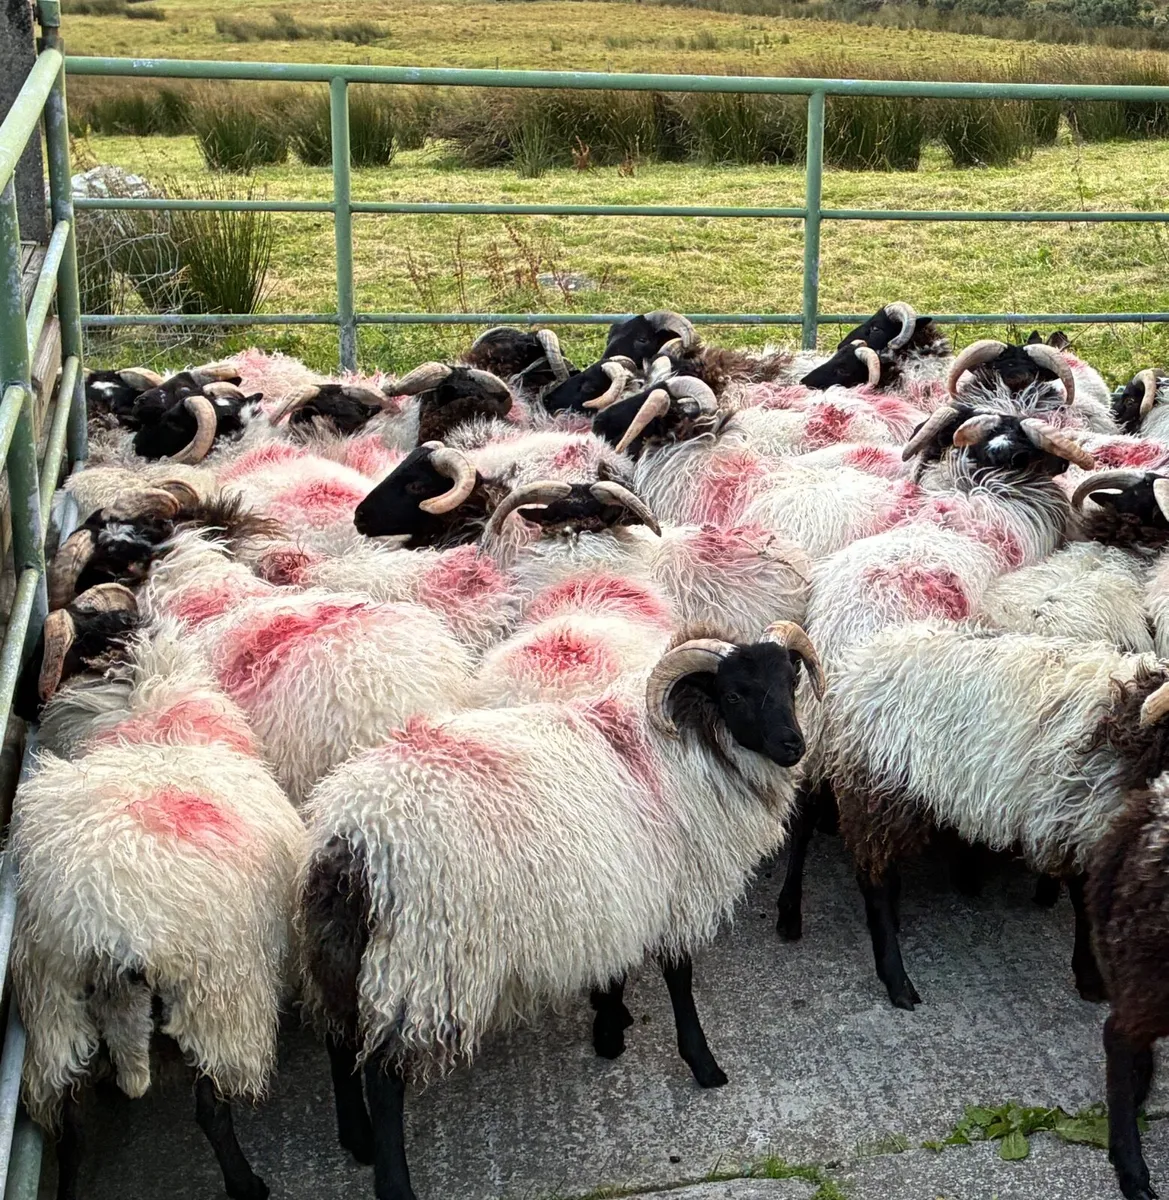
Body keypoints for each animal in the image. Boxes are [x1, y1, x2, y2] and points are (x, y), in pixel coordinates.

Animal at [12, 619, 304, 1200]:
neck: (148, 724)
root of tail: (110, 932)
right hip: (218, 1002)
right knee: (212, 1111)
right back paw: (246, 1183)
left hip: (54, 1012)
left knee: (72, 1134)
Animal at [296, 621, 825, 1200]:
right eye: (734, 695)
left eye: (790, 682)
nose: (793, 746)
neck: (689, 747)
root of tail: (355, 831)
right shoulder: (674, 890)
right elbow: (679, 978)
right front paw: (702, 1063)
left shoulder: (622, 891)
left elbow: (617, 968)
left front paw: (609, 1029)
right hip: (427, 959)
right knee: (383, 1075)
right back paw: (393, 1181)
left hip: (343, 949)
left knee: (337, 1038)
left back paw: (357, 1138)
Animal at [819, 621, 1169, 1010]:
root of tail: (859, 661)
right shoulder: (1076, 820)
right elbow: (1083, 900)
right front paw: (1090, 979)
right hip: (879, 787)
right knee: (873, 879)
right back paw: (898, 983)